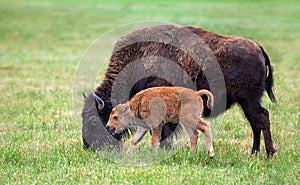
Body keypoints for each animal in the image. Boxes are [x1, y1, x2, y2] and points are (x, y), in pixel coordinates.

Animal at [81, 24, 276, 156]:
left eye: (93, 120)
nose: (87, 146)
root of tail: (258, 47)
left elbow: (163, 132)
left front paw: (164, 150)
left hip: (249, 100)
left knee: (262, 118)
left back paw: (268, 153)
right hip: (246, 103)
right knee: (255, 123)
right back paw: (254, 153)